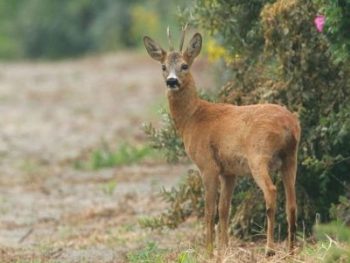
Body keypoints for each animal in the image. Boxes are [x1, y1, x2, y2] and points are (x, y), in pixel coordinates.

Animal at [142, 26, 300, 258]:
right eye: (163, 66)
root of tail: (289, 125)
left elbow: (209, 211)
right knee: (292, 203)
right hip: (291, 158)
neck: (193, 118)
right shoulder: (229, 171)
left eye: (184, 65)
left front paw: (209, 252)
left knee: (271, 192)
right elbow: (224, 209)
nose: (171, 81)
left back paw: (269, 250)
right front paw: (224, 250)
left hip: (258, 155)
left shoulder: (208, 165)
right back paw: (290, 250)